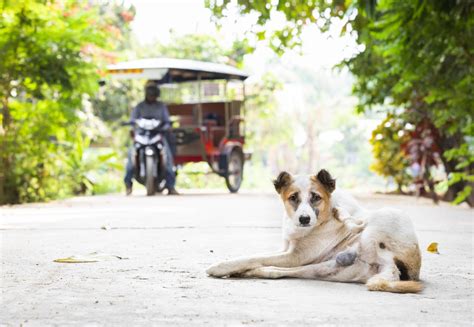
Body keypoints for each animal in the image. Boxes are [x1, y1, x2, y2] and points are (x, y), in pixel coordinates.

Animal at [207, 170, 422, 294]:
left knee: (359, 224)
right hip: (325, 269)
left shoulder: (294, 256)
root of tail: (395, 268)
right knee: (277, 272)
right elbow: (258, 257)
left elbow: (252, 257)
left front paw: (221, 266)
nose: (304, 219)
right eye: (293, 197)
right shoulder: (287, 252)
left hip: (386, 215)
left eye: (316, 197)